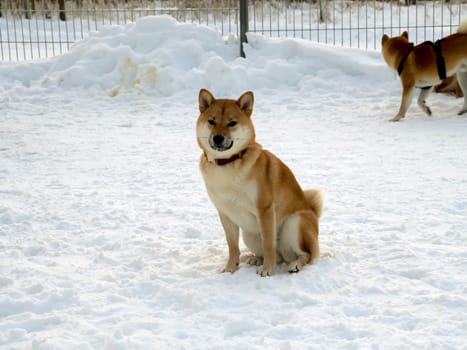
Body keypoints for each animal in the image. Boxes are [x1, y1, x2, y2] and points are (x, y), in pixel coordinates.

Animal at [196, 89, 324, 276]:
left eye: (232, 123)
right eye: (211, 121)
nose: (218, 138)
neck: (228, 164)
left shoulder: (264, 210)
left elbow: (268, 243)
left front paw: (267, 270)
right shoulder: (225, 213)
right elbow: (232, 246)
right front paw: (230, 268)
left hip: (295, 223)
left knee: (306, 254)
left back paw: (294, 264)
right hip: (249, 235)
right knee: (274, 255)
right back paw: (255, 258)